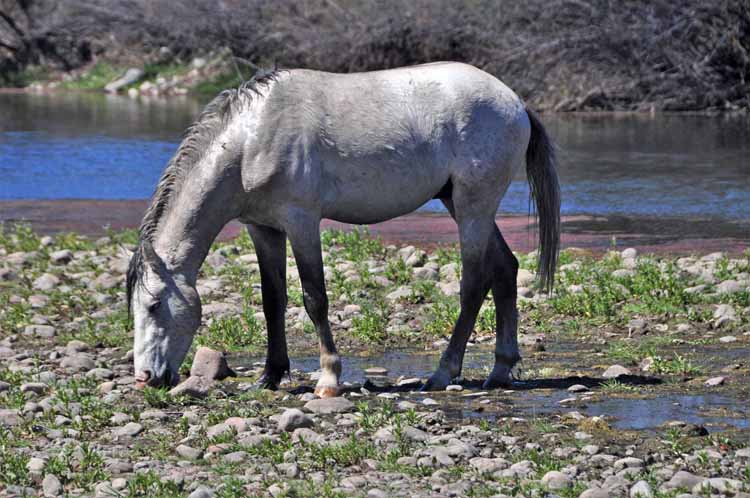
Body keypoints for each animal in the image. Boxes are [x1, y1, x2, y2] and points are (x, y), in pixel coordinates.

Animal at [128, 62, 560, 396]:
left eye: (154, 305)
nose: (145, 378)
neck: (249, 141)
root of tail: (516, 102)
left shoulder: (301, 221)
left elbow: (314, 298)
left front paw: (329, 379)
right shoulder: (263, 229)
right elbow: (273, 301)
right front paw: (269, 377)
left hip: (473, 208)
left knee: (474, 283)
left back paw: (442, 374)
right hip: (460, 204)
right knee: (504, 269)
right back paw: (500, 370)